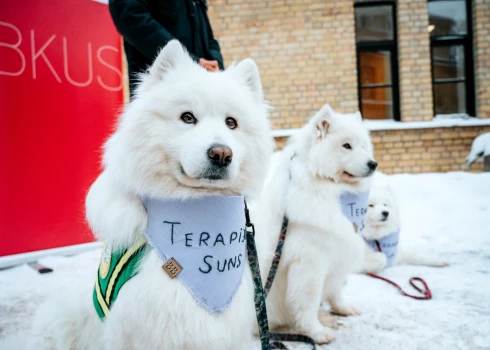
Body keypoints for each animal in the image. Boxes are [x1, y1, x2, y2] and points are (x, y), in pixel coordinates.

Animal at [255, 104, 378, 344]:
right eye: (346, 146)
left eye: (362, 146)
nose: (373, 164)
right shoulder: (309, 262)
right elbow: (307, 302)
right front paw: (316, 333)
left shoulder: (337, 253)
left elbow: (337, 289)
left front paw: (342, 309)